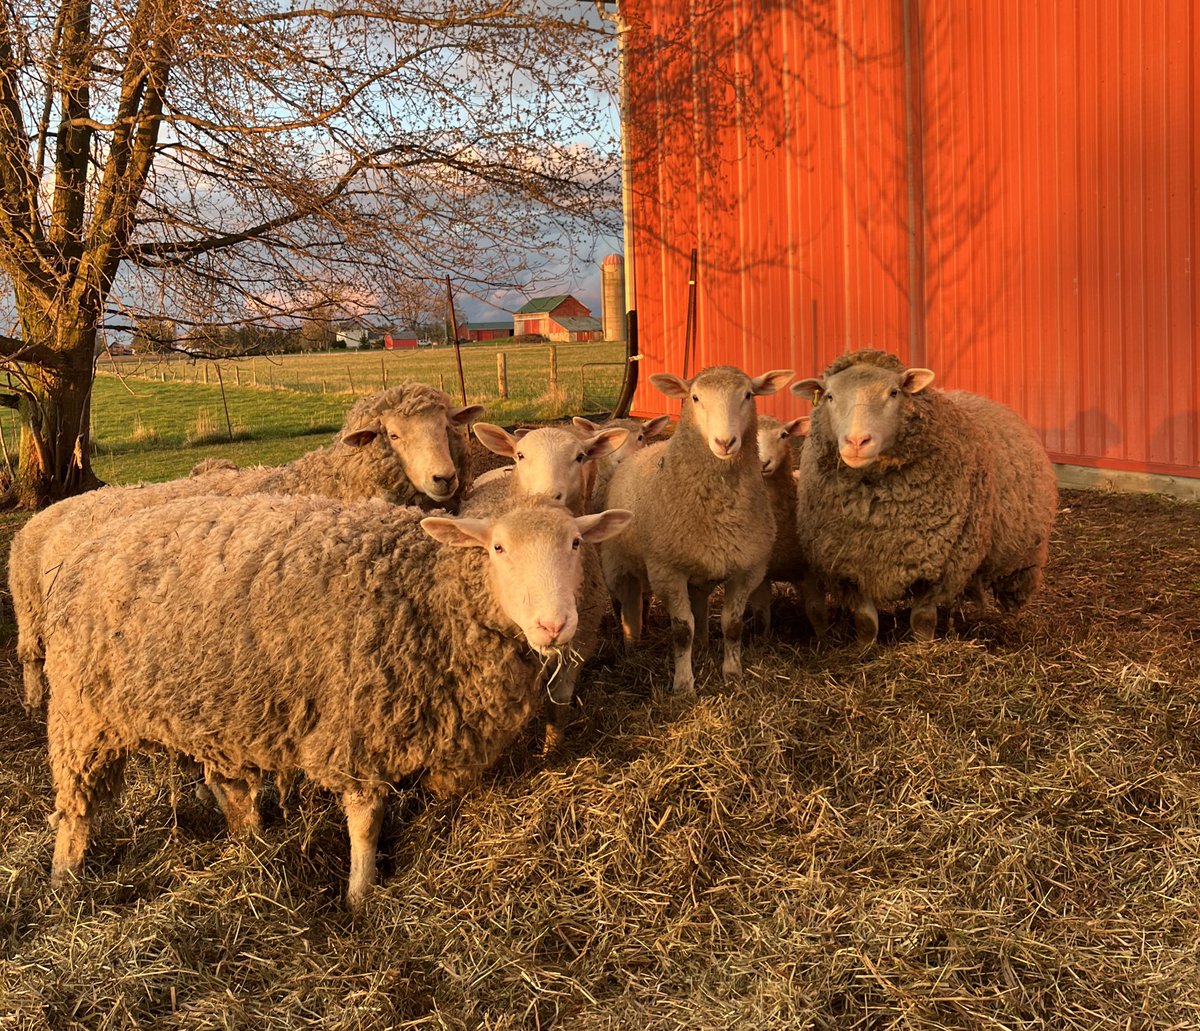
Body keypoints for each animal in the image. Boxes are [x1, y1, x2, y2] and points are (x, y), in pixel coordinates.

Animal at [11, 383, 482, 714]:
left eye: (447, 428)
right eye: (394, 435)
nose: (444, 478)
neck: (324, 480)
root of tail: (45, 516)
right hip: (32, 610)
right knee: (31, 656)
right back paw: (34, 700)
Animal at [41, 492, 633, 911]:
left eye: (576, 544)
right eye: (498, 548)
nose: (554, 626)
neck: (430, 590)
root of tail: (89, 545)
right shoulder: (359, 726)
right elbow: (365, 823)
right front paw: (360, 897)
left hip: (221, 705)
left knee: (227, 784)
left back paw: (251, 842)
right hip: (82, 715)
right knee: (75, 806)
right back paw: (64, 879)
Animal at [601, 365, 795, 695]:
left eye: (748, 395)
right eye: (695, 397)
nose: (725, 442)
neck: (720, 510)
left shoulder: (747, 569)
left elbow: (732, 625)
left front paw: (732, 673)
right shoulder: (667, 571)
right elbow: (682, 630)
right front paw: (683, 685)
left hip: (700, 566)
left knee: (700, 604)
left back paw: (703, 644)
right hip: (618, 565)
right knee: (627, 604)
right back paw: (631, 646)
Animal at [745, 414, 828, 637]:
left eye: (783, 435)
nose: (763, 463)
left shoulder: (808, 571)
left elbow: (816, 611)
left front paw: (825, 640)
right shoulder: (761, 575)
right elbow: (761, 615)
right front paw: (762, 641)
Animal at [790, 349, 1057, 645]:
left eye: (894, 392)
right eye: (829, 396)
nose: (857, 442)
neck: (879, 515)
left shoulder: (942, 564)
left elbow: (923, 618)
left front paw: (924, 647)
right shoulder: (847, 567)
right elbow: (866, 620)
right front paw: (863, 647)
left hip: (1023, 554)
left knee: (1015, 585)